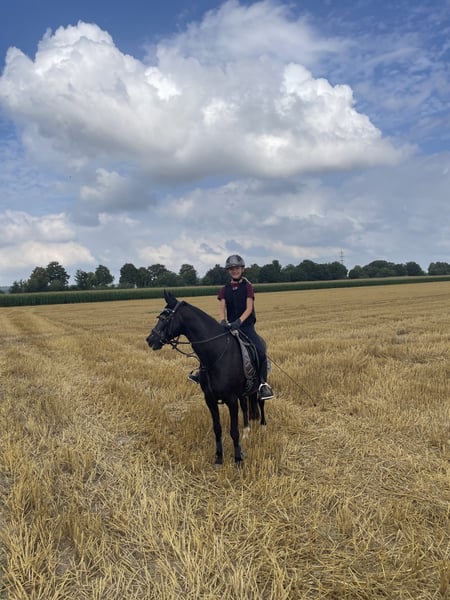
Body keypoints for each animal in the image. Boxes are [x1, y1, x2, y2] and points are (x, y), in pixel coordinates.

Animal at [146, 290, 266, 465]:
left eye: (164, 318)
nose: (150, 339)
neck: (216, 355)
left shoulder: (231, 399)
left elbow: (233, 431)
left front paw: (237, 459)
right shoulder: (209, 399)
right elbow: (217, 429)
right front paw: (219, 457)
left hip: (259, 384)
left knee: (261, 402)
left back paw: (263, 427)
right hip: (243, 392)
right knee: (245, 406)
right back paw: (247, 431)